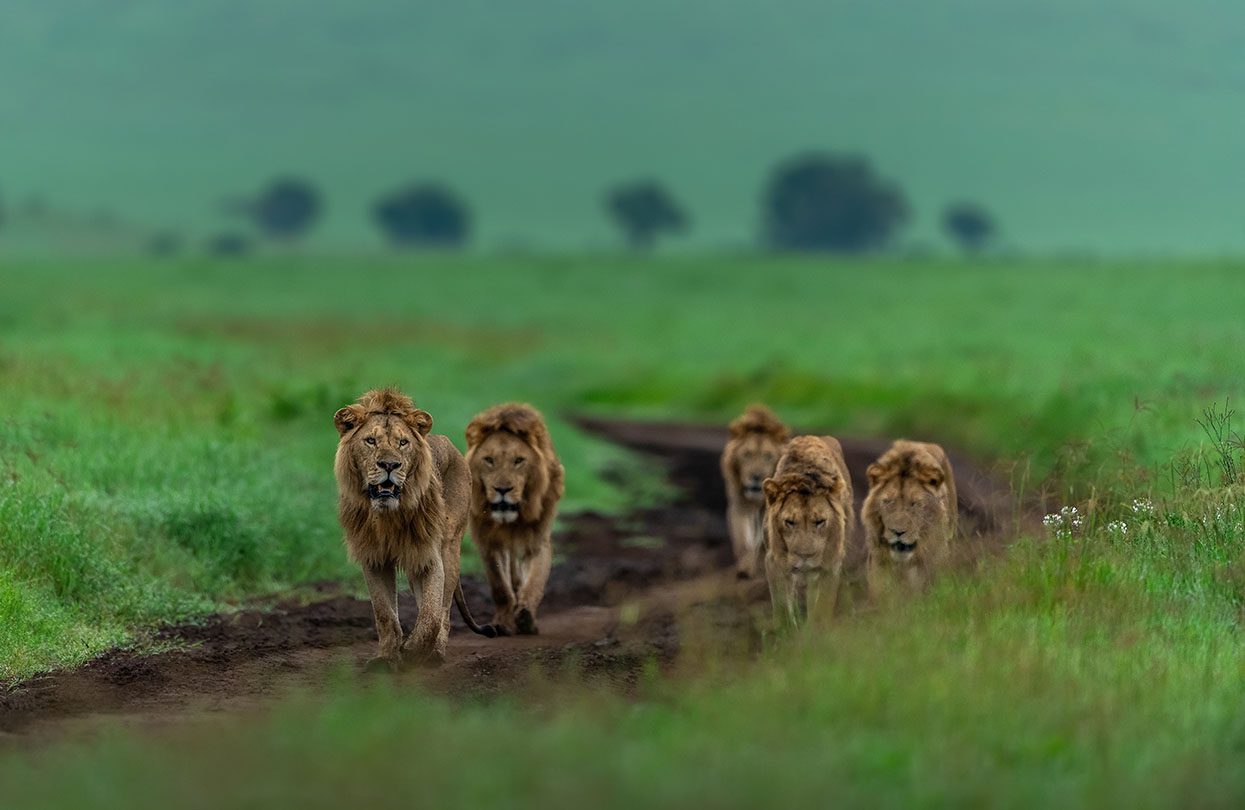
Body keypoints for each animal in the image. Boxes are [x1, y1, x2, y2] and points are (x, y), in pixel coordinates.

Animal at [333, 388, 494, 671]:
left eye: (402, 443)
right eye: (371, 441)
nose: (389, 465)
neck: (388, 516)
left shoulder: (429, 556)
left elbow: (432, 615)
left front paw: (413, 650)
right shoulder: (374, 558)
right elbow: (385, 614)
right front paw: (387, 657)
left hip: (449, 547)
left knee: (443, 611)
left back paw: (435, 654)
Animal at [465, 403, 565, 636]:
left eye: (519, 461)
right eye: (489, 460)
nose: (502, 490)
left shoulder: (537, 540)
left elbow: (535, 581)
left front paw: (526, 617)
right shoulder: (489, 542)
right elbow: (500, 587)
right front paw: (503, 622)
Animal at [721, 405, 789, 579]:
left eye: (768, 456)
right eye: (747, 454)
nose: (756, 477)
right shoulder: (740, 505)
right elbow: (744, 539)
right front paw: (745, 568)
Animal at [762, 435, 854, 626]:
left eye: (820, 522)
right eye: (789, 522)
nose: (805, 556)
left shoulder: (830, 564)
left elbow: (822, 609)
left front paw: (817, 633)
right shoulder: (774, 561)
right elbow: (782, 607)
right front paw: (785, 631)